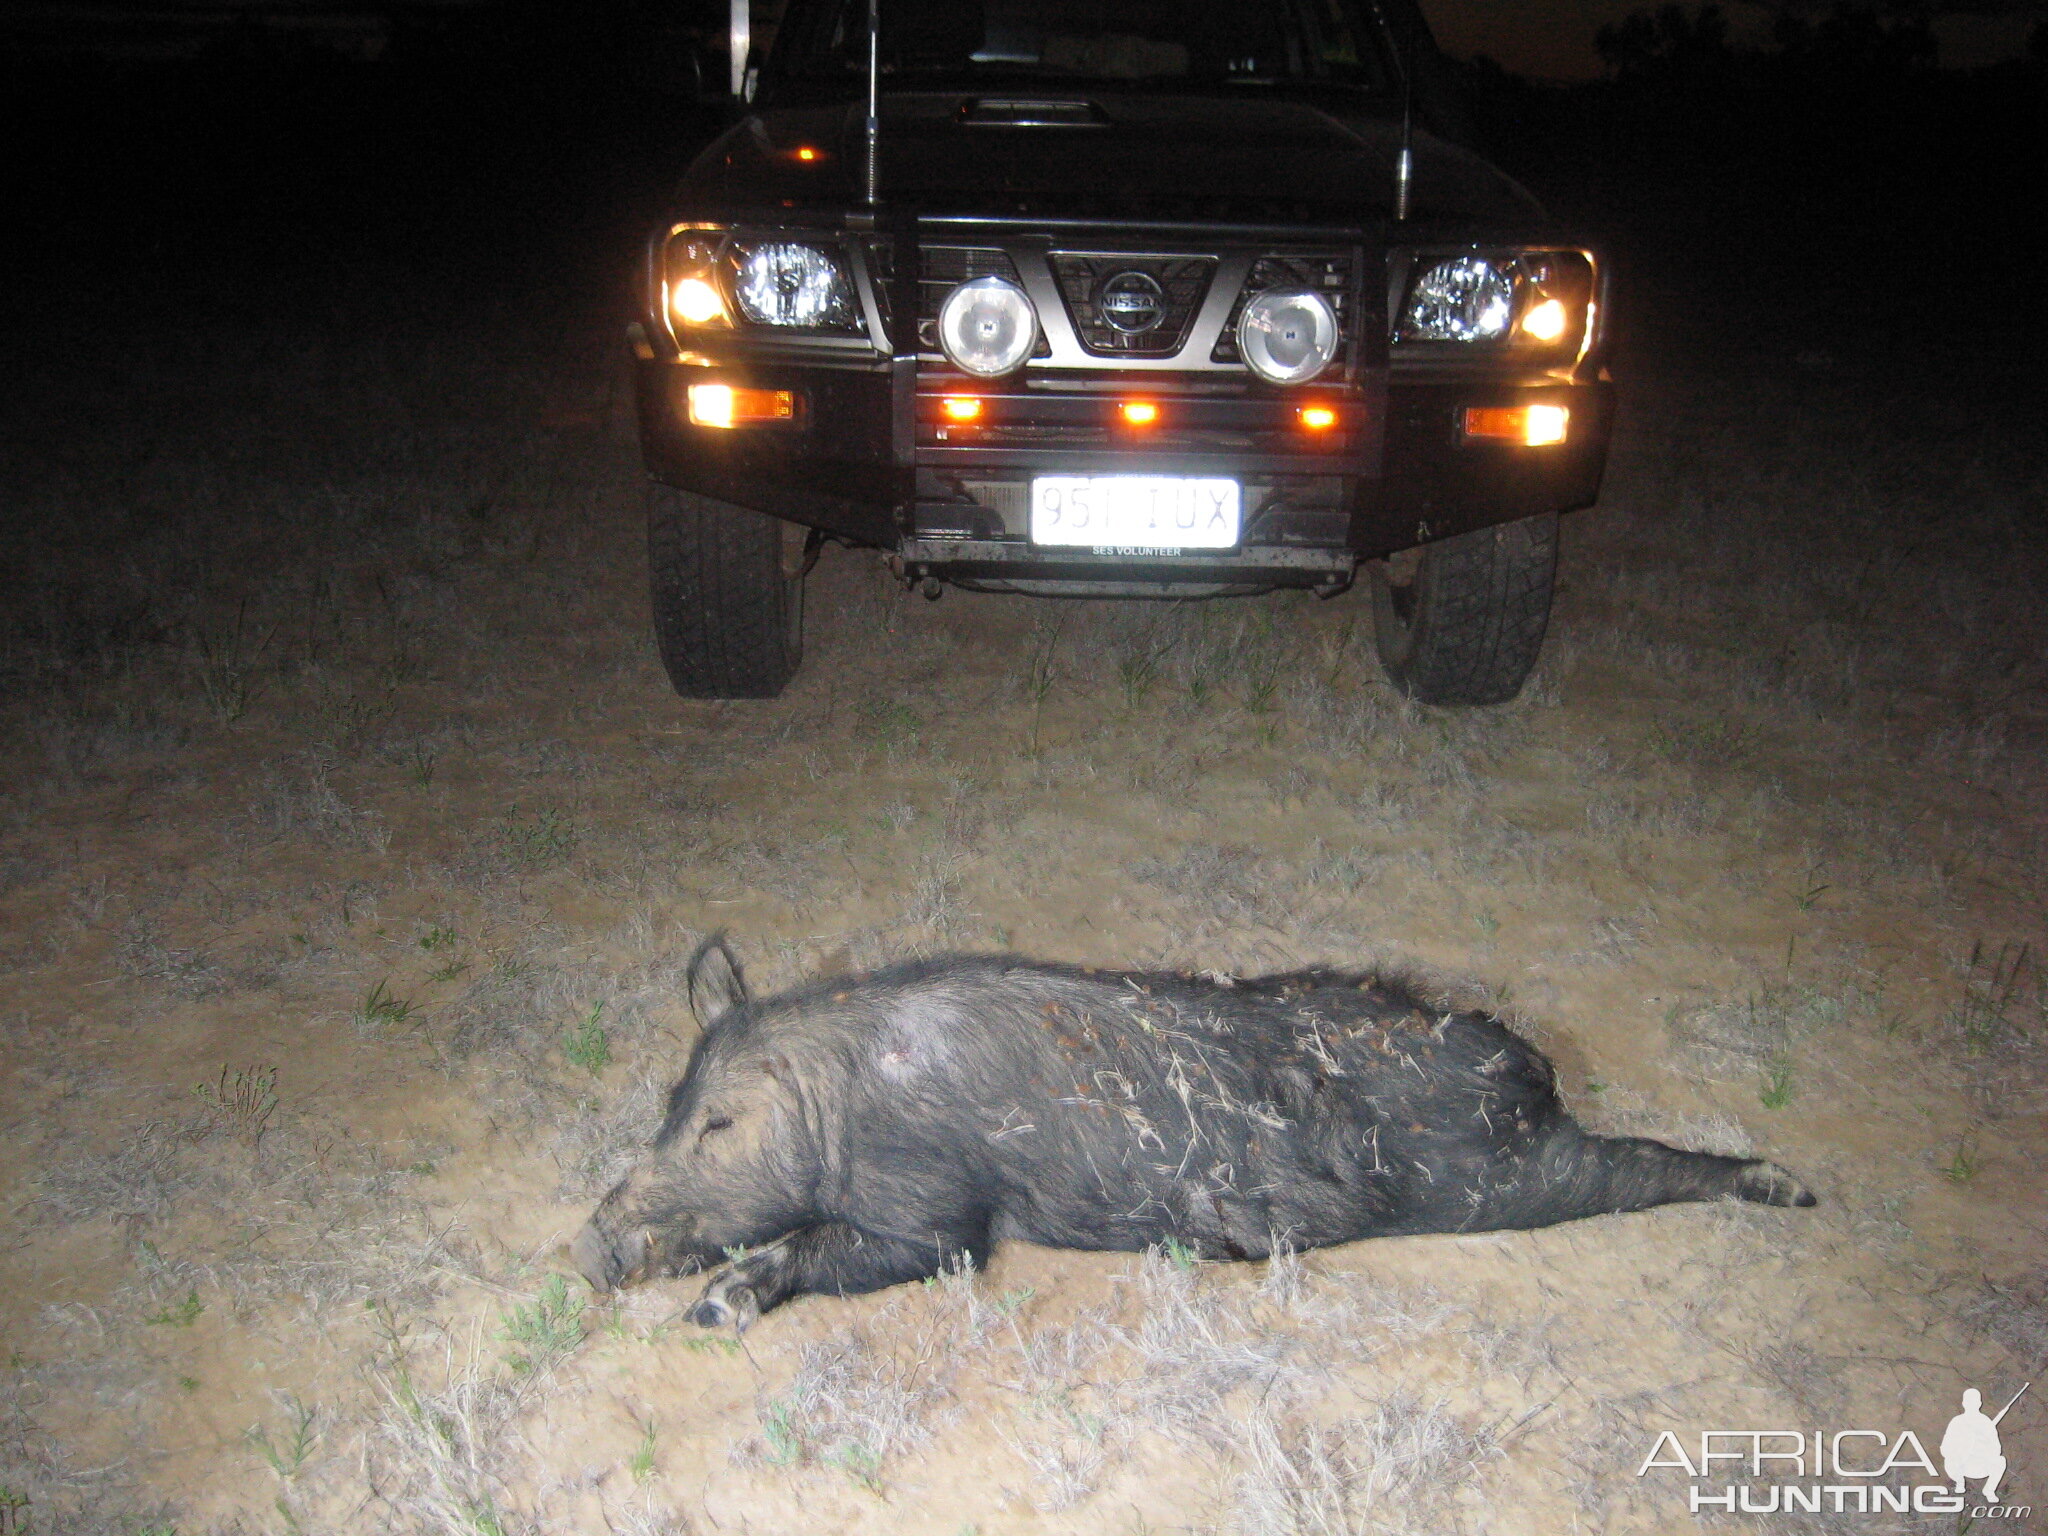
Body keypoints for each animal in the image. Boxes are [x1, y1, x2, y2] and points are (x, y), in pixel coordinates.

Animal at [573, 937, 1810, 1327]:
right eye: (668, 1105)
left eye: (719, 1123)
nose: (590, 1246)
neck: (844, 1094)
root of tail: (1534, 1067)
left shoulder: (938, 1214)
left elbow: (859, 1248)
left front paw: (714, 1307)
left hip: (1507, 1176)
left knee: (1641, 1164)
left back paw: (1793, 1190)